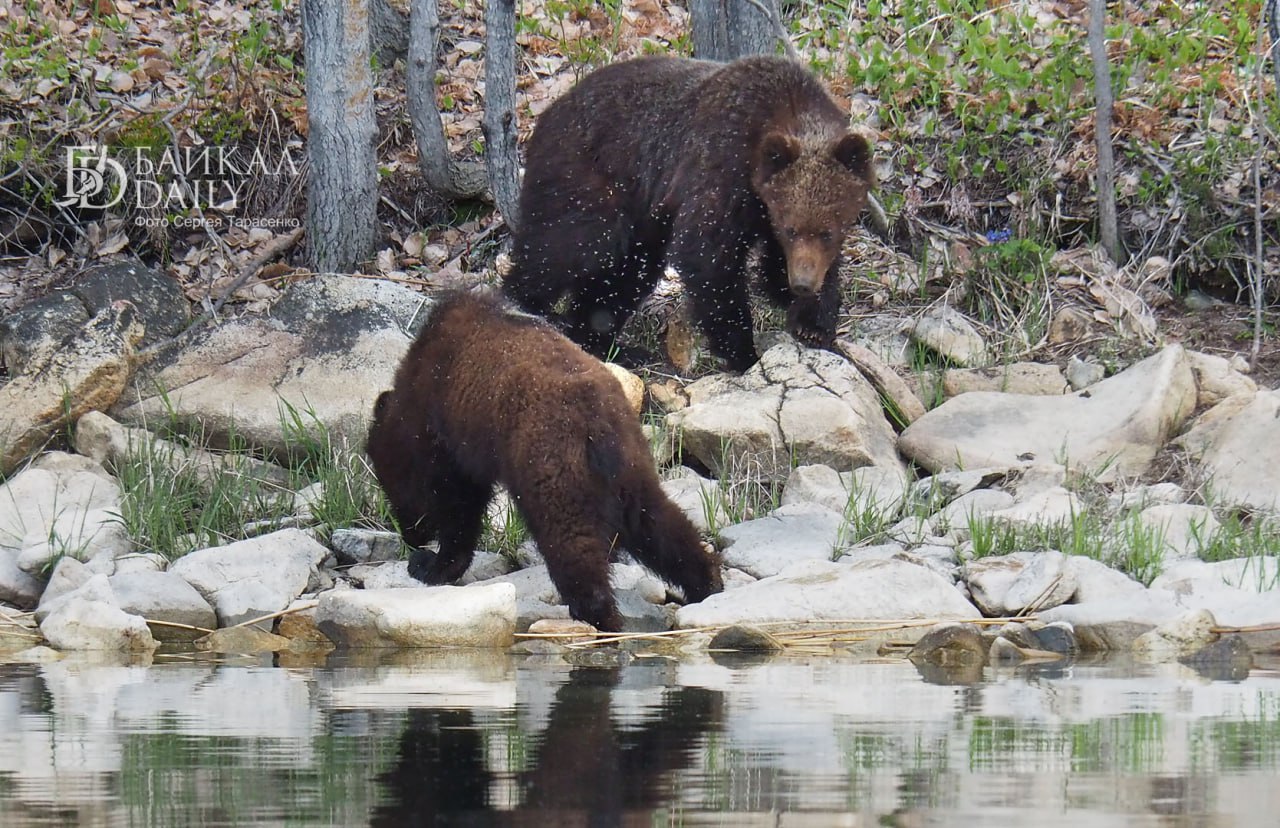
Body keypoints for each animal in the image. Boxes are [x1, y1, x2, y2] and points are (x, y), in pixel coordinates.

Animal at [366, 293, 721, 634]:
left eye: (389, 488)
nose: (409, 537)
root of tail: (597, 421)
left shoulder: (447, 430)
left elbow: (458, 503)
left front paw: (430, 564)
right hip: (632, 463)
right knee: (660, 523)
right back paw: (706, 584)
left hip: (551, 460)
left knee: (570, 541)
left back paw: (596, 617)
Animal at [504, 55, 875, 373]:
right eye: (792, 229)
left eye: (828, 231)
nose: (803, 283)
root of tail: (544, 119)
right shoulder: (722, 167)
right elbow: (707, 255)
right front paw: (743, 350)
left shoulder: (765, 209)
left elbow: (775, 272)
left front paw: (814, 320)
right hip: (589, 181)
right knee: (564, 250)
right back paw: (525, 308)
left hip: (641, 220)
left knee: (626, 274)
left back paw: (608, 343)